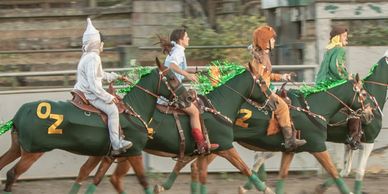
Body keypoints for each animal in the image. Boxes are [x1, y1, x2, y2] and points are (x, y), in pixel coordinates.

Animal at [0, 58, 185, 194]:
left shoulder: (106, 155)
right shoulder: (135, 152)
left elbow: (92, 177)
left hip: (17, 148)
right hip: (32, 153)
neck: (133, 110)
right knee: (12, 174)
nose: (189, 96)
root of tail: (19, 114)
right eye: (172, 78)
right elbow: (143, 180)